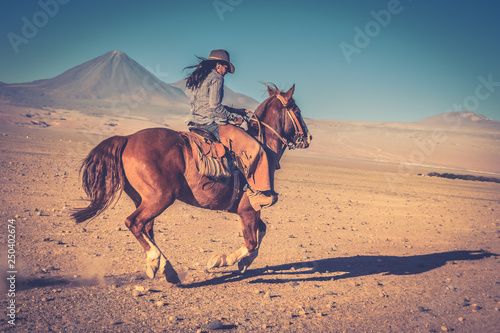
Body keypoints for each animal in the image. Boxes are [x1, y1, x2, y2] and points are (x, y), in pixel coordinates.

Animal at [71, 84, 312, 284]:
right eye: (297, 110)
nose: (308, 138)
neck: (263, 146)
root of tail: (127, 138)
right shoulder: (248, 209)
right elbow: (252, 242)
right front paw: (219, 261)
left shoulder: (250, 210)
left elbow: (261, 233)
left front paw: (243, 263)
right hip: (160, 197)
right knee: (135, 223)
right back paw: (157, 262)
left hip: (144, 198)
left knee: (147, 228)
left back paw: (165, 269)